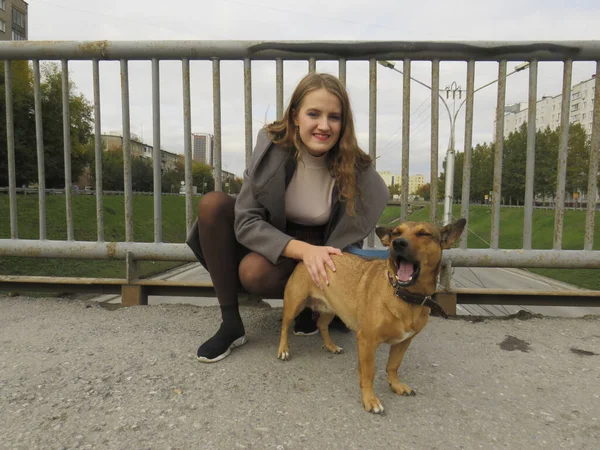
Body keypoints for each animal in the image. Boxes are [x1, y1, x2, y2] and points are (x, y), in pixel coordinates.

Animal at [278, 220, 466, 414]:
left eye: (424, 234)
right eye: (396, 233)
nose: (398, 243)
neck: (404, 296)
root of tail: (312, 252)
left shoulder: (403, 342)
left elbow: (393, 366)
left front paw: (396, 385)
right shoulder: (367, 341)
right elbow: (369, 373)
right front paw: (370, 399)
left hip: (331, 308)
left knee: (322, 325)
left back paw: (331, 346)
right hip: (295, 304)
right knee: (285, 326)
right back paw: (283, 350)